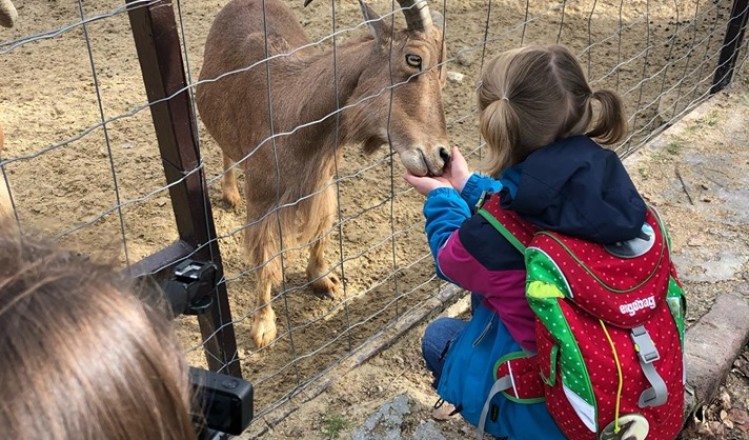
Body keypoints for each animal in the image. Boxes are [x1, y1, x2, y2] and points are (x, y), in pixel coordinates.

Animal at [196, 0, 448, 348]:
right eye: (414, 59)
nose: (441, 156)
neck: (295, 114)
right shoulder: (262, 200)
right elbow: (265, 259)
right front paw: (263, 326)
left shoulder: (323, 181)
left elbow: (322, 228)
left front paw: (322, 280)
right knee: (226, 150)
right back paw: (230, 193)